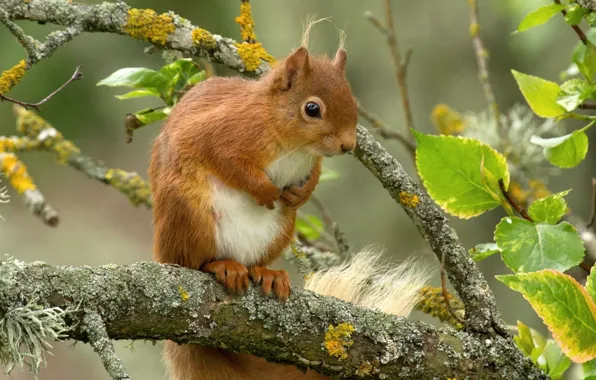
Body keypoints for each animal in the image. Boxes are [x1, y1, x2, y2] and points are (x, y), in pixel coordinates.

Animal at [149, 29, 428, 378]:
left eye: (354, 102)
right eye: (312, 109)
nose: (349, 145)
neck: (295, 145)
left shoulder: (312, 162)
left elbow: (314, 174)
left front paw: (300, 193)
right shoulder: (221, 131)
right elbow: (228, 161)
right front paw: (266, 191)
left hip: (280, 230)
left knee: (254, 261)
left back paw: (267, 273)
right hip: (187, 213)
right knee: (190, 261)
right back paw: (221, 266)